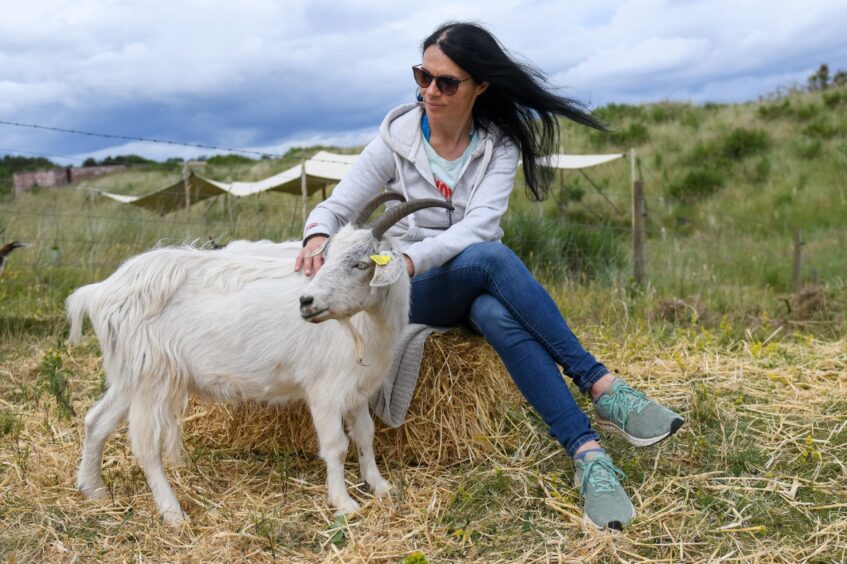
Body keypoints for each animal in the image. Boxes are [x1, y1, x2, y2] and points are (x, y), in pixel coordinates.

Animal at [68, 195, 450, 528]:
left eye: (359, 264)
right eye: (326, 258)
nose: (307, 302)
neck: (364, 326)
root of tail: (100, 292)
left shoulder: (358, 389)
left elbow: (366, 436)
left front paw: (381, 486)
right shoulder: (324, 392)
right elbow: (337, 446)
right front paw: (344, 503)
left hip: (129, 375)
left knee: (96, 421)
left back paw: (93, 489)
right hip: (153, 377)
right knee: (146, 447)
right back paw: (173, 514)